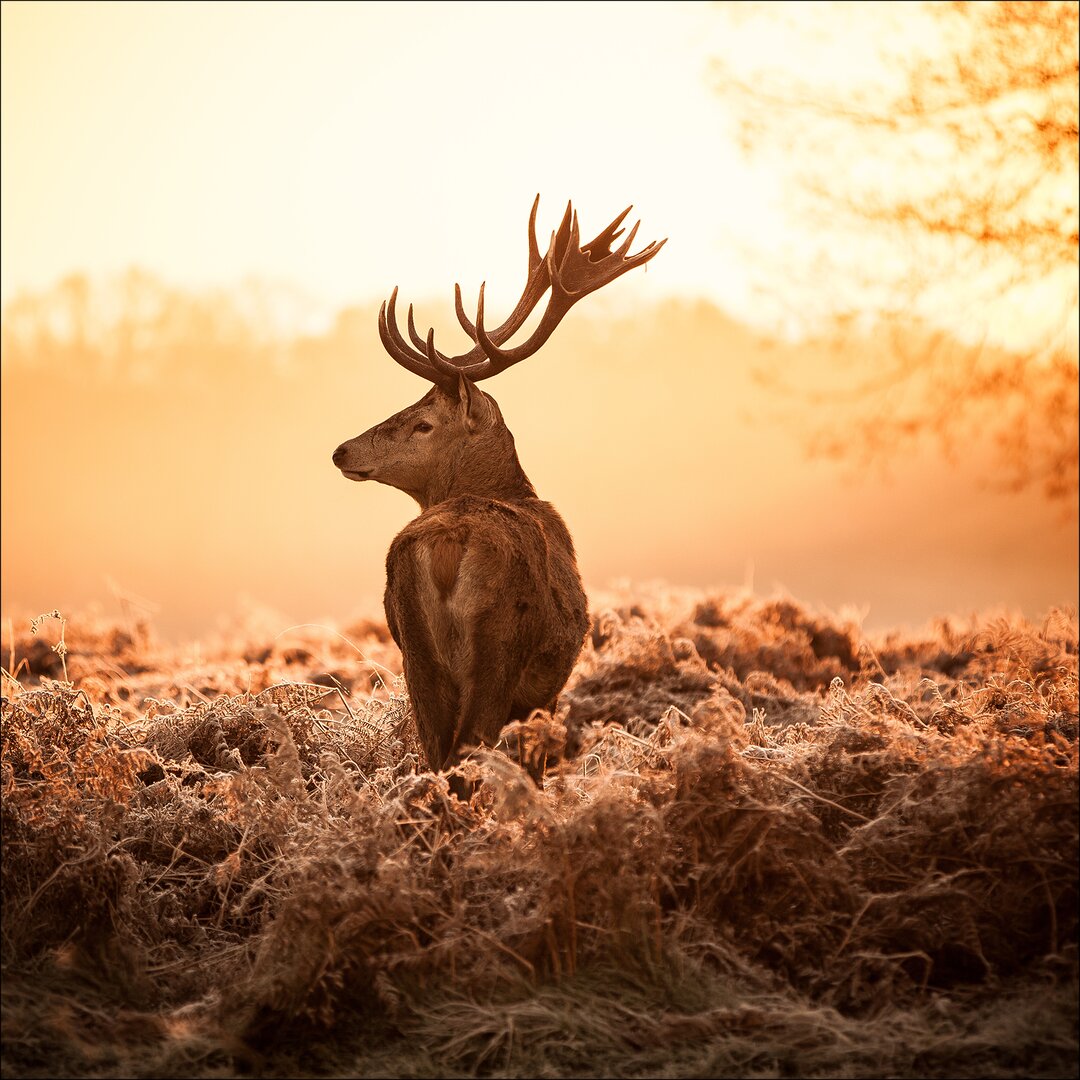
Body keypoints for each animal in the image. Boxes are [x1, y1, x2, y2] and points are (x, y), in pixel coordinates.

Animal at [332, 198, 660, 794]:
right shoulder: (546, 689)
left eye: (421, 423)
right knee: (469, 749)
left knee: (436, 751)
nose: (341, 450)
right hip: (499, 645)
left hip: (414, 650)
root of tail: (446, 545)